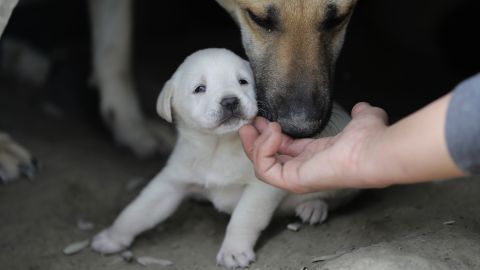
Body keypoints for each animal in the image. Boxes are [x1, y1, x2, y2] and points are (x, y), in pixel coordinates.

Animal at [92, 48, 358, 268]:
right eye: (200, 88)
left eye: (243, 81)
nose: (230, 100)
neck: (217, 147)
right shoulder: (172, 182)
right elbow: (139, 211)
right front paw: (112, 237)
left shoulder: (262, 187)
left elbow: (244, 218)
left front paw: (234, 251)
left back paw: (313, 206)